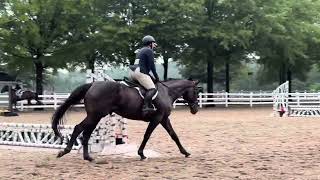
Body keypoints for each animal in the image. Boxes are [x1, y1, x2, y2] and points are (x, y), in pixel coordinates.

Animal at [51, 79, 199, 162]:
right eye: (196, 92)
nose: (195, 109)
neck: (167, 92)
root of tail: (93, 84)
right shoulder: (157, 118)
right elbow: (147, 135)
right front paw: (141, 154)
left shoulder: (163, 119)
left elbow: (174, 135)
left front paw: (185, 152)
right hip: (95, 115)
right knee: (79, 128)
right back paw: (65, 151)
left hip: (96, 116)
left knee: (86, 132)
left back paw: (87, 157)